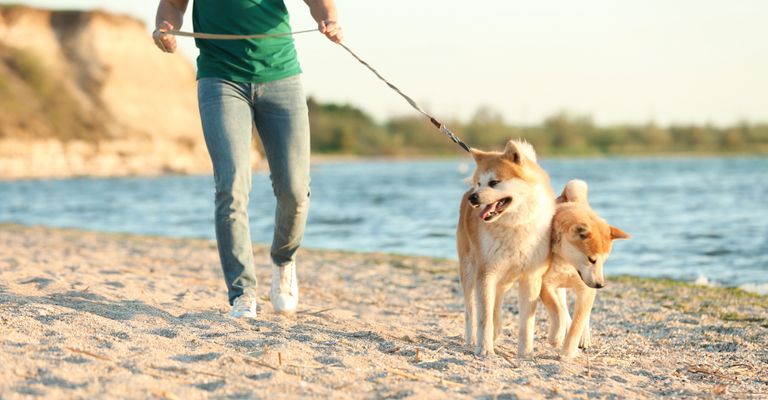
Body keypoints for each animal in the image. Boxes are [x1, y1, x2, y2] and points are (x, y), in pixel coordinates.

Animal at [456, 139, 552, 358]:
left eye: (494, 182)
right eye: (479, 183)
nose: (473, 198)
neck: (514, 227)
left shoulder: (530, 277)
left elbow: (526, 323)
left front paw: (525, 353)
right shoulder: (485, 273)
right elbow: (483, 318)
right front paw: (484, 348)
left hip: (505, 279)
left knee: (496, 303)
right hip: (470, 271)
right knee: (470, 310)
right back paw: (471, 339)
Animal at [540, 180, 632, 358]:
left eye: (604, 260)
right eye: (591, 259)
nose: (600, 285)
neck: (569, 265)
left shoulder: (586, 290)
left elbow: (578, 323)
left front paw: (568, 352)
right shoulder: (544, 283)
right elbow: (557, 310)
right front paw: (556, 337)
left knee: (584, 317)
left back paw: (584, 338)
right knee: (563, 308)